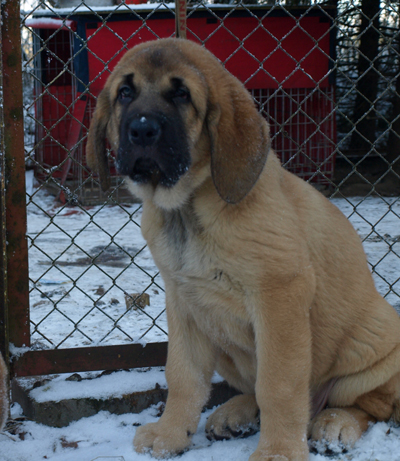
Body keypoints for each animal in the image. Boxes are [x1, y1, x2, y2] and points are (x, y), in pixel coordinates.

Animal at [86, 38, 400, 460]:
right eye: (124, 93)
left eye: (182, 94)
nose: (142, 130)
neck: (187, 208)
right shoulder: (184, 300)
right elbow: (183, 375)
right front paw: (171, 433)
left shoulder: (279, 297)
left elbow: (279, 384)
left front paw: (280, 451)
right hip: (223, 343)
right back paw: (234, 413)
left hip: (374, 347)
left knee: (369, 405)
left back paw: (335, 424)